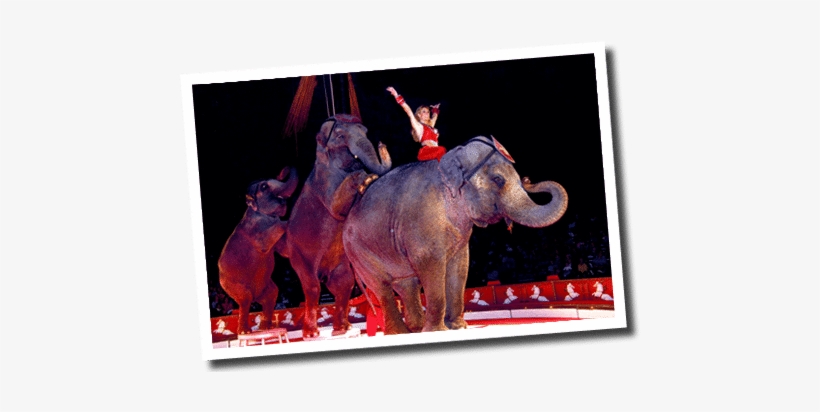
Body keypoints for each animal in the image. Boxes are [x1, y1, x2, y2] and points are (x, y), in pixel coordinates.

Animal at [218, 167, 298, 335]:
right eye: (264, 187)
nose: (283, 171)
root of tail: (256, 297)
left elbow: (284, 251)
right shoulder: (255, 230)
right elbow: (268, 238)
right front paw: (289, 220)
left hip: (265, 286)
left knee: (272, 294)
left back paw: (265, 327)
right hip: (231, 285)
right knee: (245, 300)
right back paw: (245, 332)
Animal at [280, 114, 392, 338]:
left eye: (366, 132)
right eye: (340, 137)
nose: (381, 143)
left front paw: (368, 180)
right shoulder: (324, 183)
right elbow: (335, 208)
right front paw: (363, 176)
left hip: (338, 264)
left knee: (343, 284)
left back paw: (343, 329)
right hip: (299, 256)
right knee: (312, 287)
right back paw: (312, 334)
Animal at [342, 135, 568, 334]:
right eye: (498, 179)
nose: (529, 180)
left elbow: (460, 266)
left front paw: (458, 327)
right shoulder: (422, 224)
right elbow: (431, 266)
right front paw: (436, 331)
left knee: (407, 284)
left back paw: (415, 329)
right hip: (359, 254)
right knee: (383, 288)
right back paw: (400, 332)